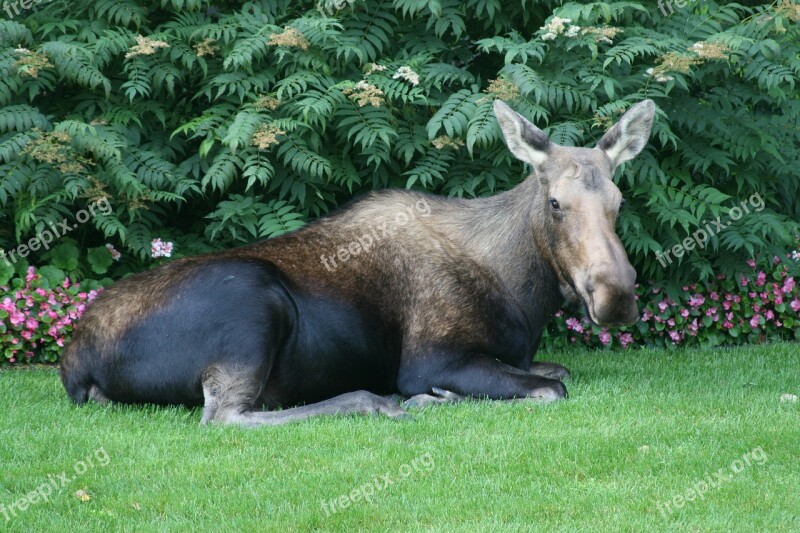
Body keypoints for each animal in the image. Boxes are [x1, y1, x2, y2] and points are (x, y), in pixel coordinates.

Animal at [61, 97, 656, 426]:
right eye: (555, 202)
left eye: (620, 201)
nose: (616, 294)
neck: (524, 295)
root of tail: (74, 362)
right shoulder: (430, 358)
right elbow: (552, 388)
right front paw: (430, 397)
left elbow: (556, 370)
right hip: (251, 300)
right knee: (225, 416)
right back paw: (377, 401)